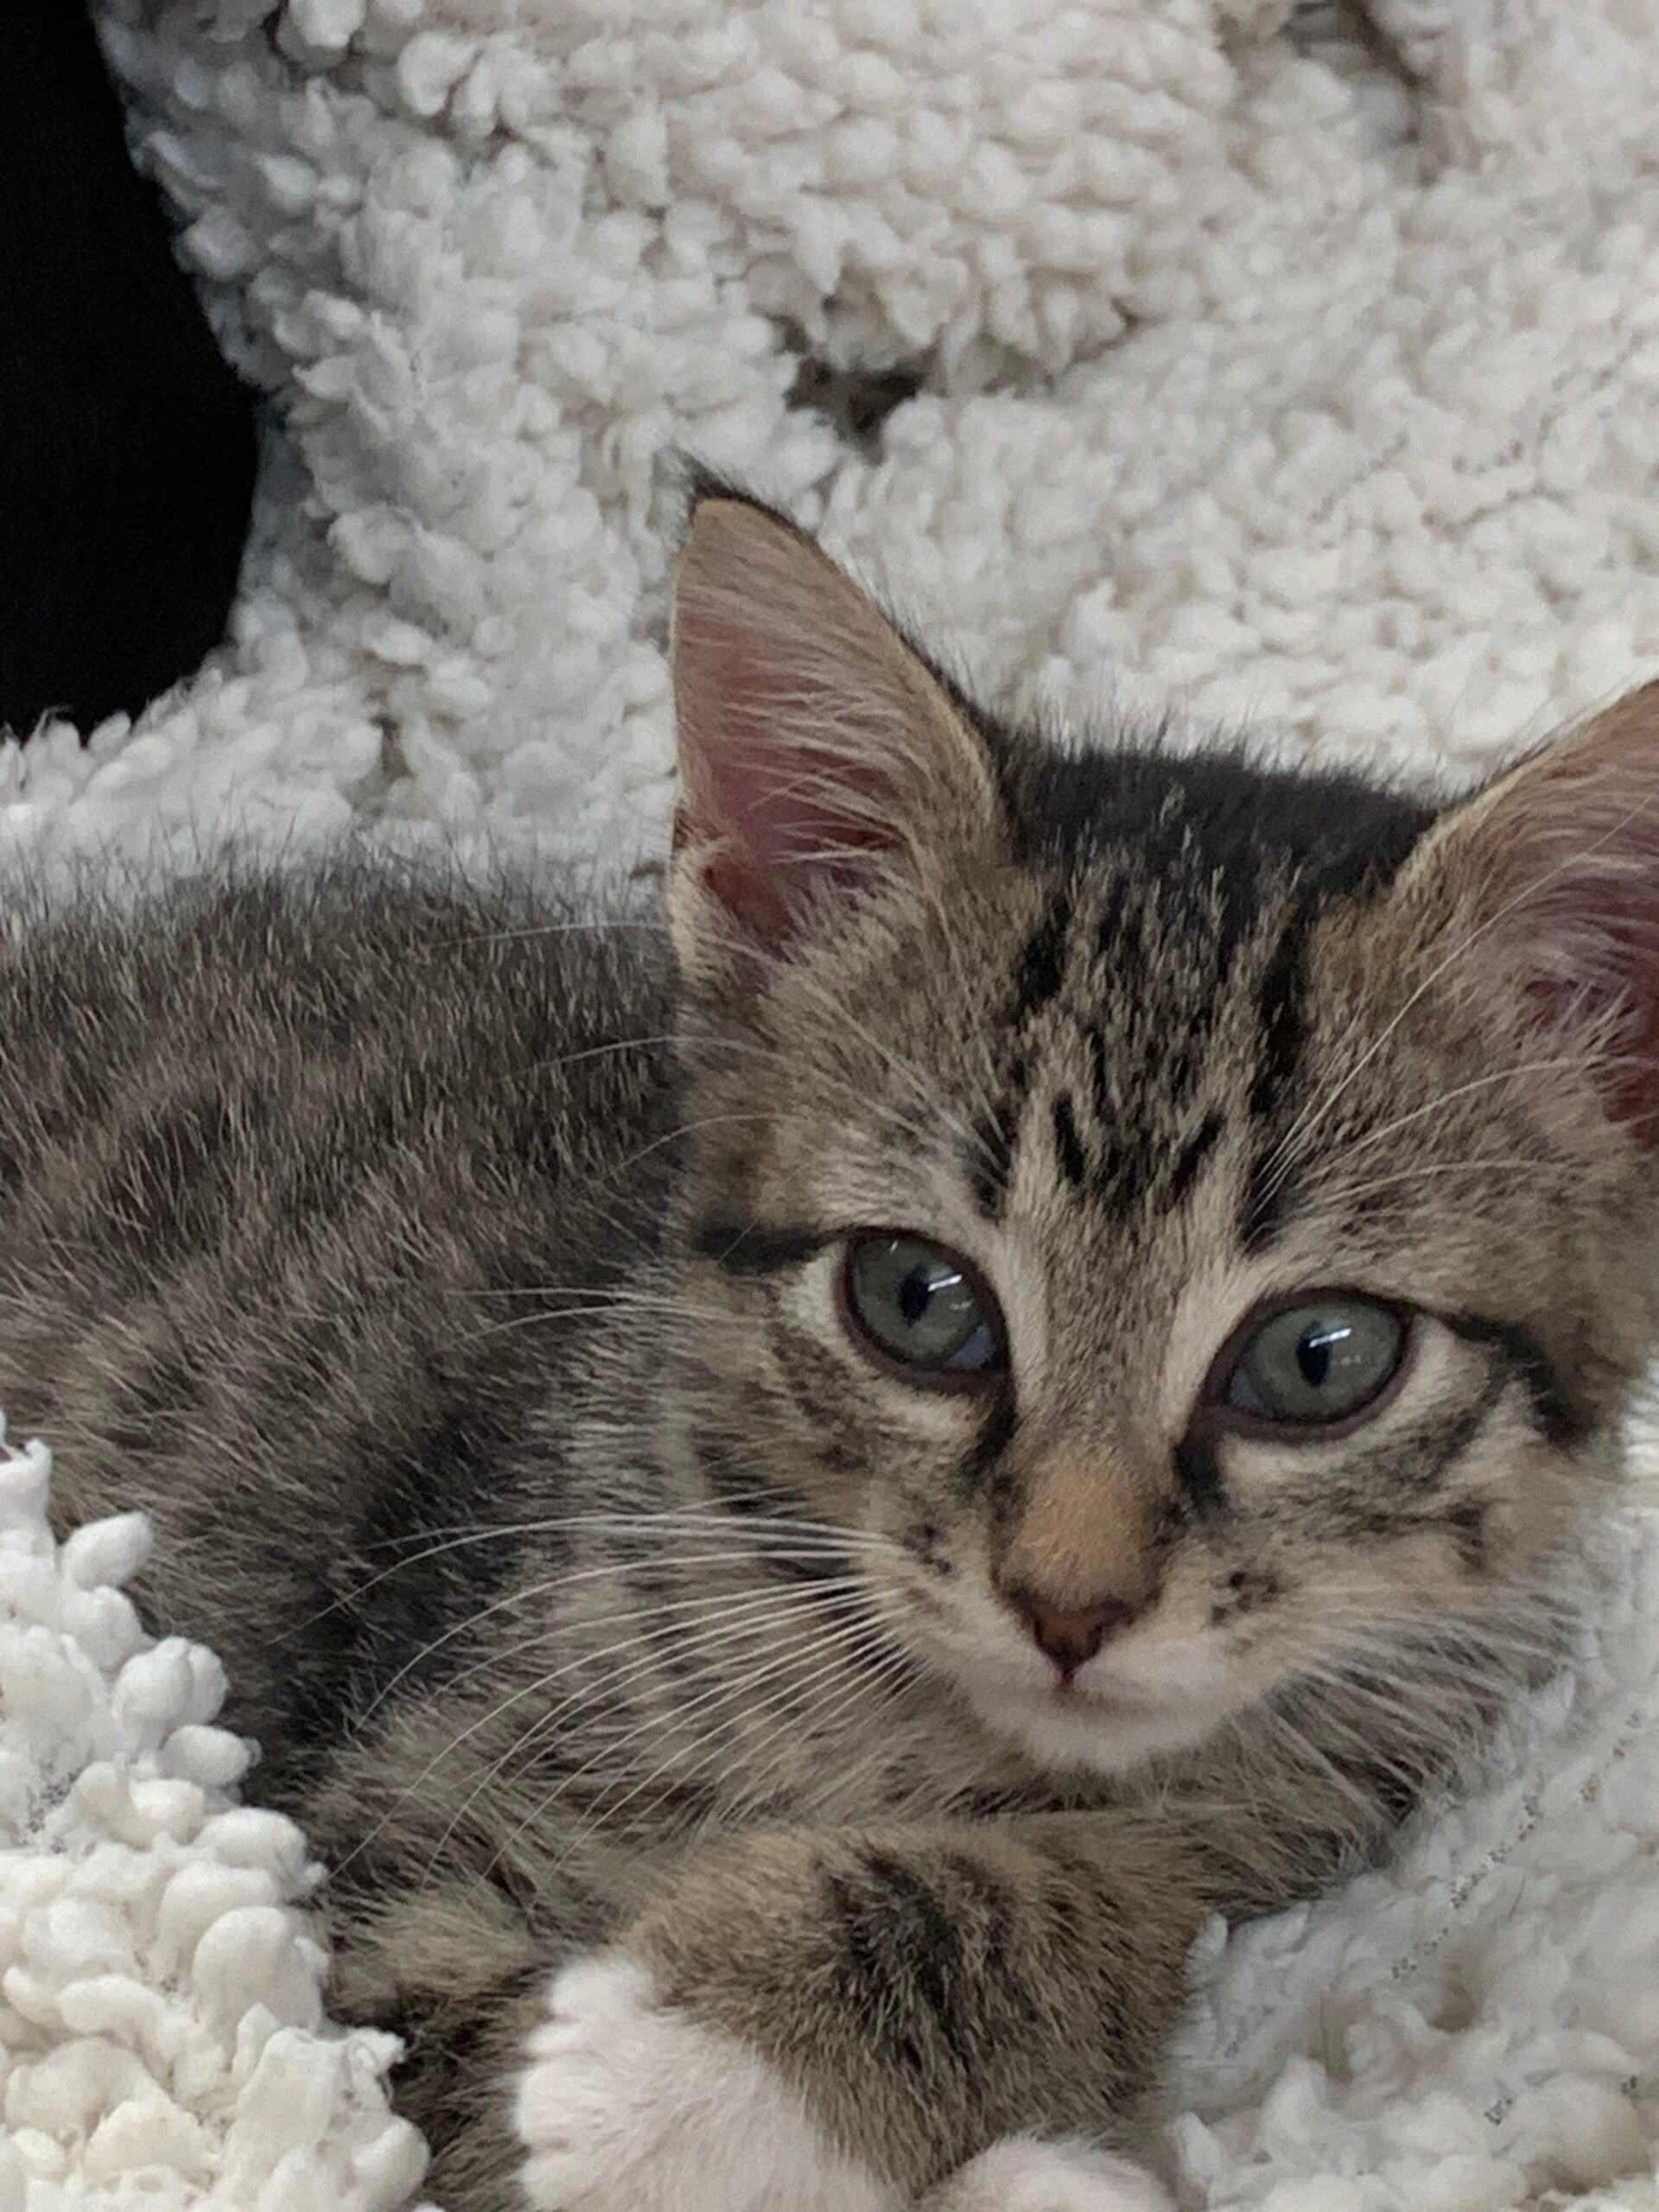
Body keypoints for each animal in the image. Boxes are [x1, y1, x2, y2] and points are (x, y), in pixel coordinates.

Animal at [4, 489, 1657, 2210]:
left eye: (1319, 1361)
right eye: (919, 1304)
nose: (1070, 1607)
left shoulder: (1296, 1804)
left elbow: (1097, 1889)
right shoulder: (396, 1809)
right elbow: (425, 2055)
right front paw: (665, 2089)